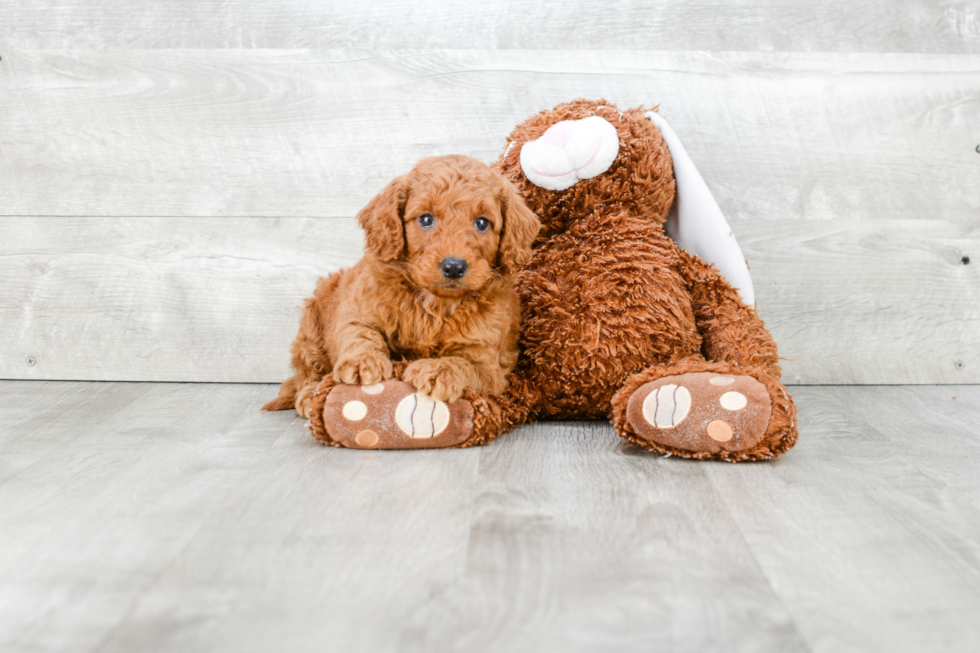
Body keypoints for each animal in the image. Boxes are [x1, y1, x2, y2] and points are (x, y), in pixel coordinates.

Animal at [264, 155, 540, 416]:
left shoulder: (489, 367)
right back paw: (311, 395)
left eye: (482, 223)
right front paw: (363, 361)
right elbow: (359, 334)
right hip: (312, 323)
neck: (435, 304)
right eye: (426, 219)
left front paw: (436, 370)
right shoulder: (359, 311)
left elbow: (464, 364)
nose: (453, 266)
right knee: (305, 374)